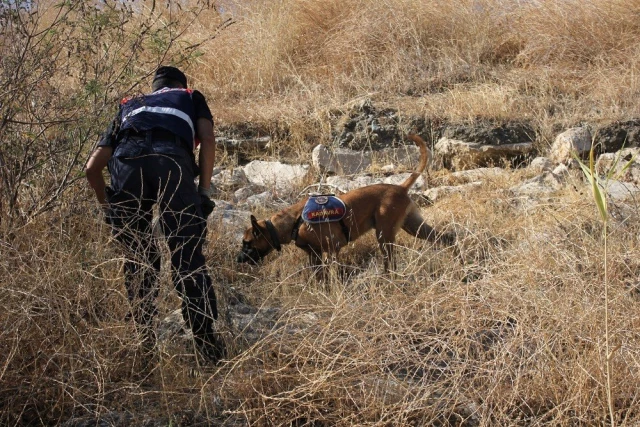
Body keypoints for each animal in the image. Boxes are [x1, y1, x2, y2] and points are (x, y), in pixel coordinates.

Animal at [236, 135, 456, 274]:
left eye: (247, 243)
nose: (238, 259)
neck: (293, 223)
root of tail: (399, 188)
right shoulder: (314, 256)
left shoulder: (332, 250)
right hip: (413, 226)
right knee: (447, 238)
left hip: (385, 236)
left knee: (390, 263)